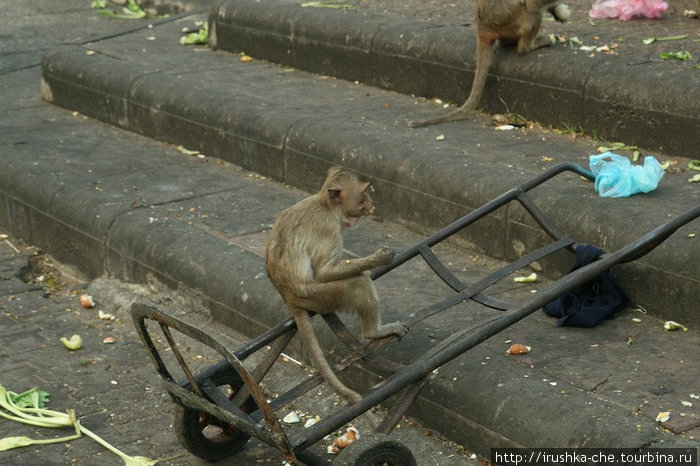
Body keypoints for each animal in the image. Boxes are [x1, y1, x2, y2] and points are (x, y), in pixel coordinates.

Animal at [268, 166, 410, 402]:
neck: (327, 206)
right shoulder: (328, 230)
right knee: (358, 285)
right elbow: (324, 271)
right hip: (319, 297)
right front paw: (378, 259)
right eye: (364, 192)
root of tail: (287, 296)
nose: (372, 202)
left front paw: (368, 265)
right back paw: (374, 331)